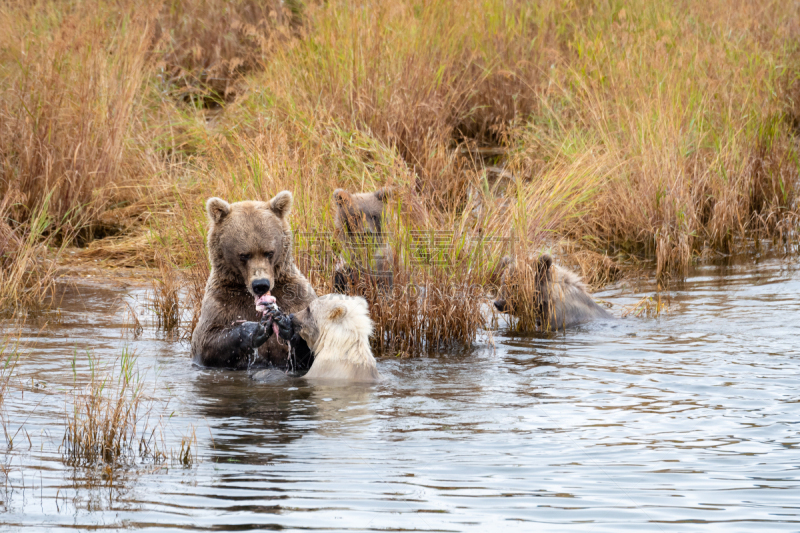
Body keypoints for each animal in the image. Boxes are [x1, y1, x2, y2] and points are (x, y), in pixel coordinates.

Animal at [192, 191, 318, 370]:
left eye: (269, 252)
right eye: (244, 255)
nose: (261, 285)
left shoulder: (296, 295)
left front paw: (285, 324)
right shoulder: (221, 302)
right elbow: (207, 340)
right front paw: (257, 329)